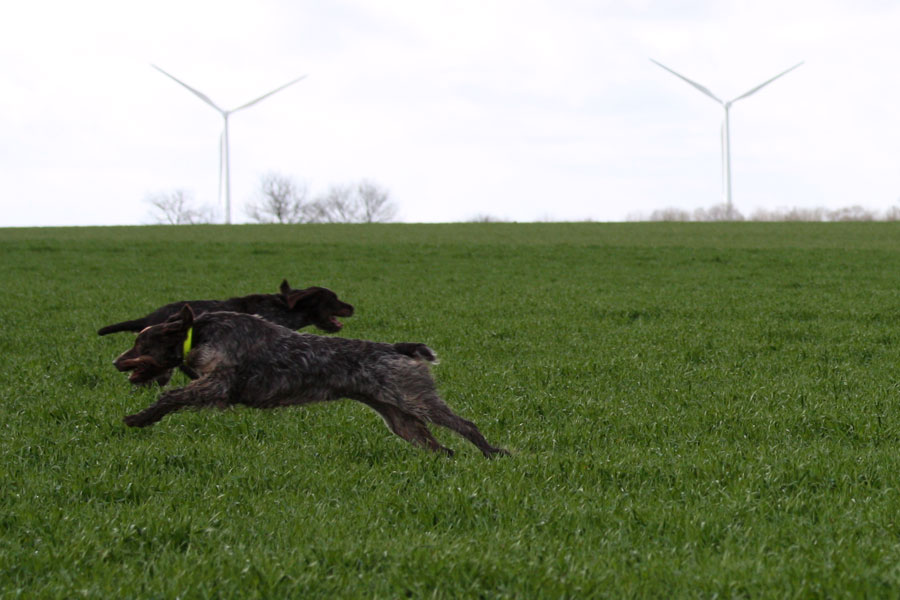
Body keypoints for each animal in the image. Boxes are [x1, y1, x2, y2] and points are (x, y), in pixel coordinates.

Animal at [114, 308, 506, 458]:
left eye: (140, 344)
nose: (115, 361)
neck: (197, 335)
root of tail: (397, 348)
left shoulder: (218, 385)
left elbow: (171, 397)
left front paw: (140, 418)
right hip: (400, 420)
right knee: (442, 448)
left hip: (416, 399)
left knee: (466, 425)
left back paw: (493, 452)